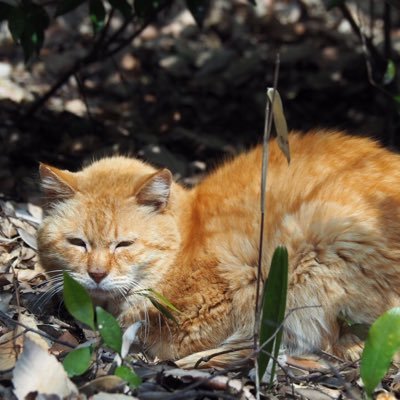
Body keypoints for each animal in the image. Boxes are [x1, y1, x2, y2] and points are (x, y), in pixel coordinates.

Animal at [36, 130, 400, 366]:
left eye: (124, 244)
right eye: (77, 243)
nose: (96, 274)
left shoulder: (223, 305)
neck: (187, 241)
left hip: (318, 238)